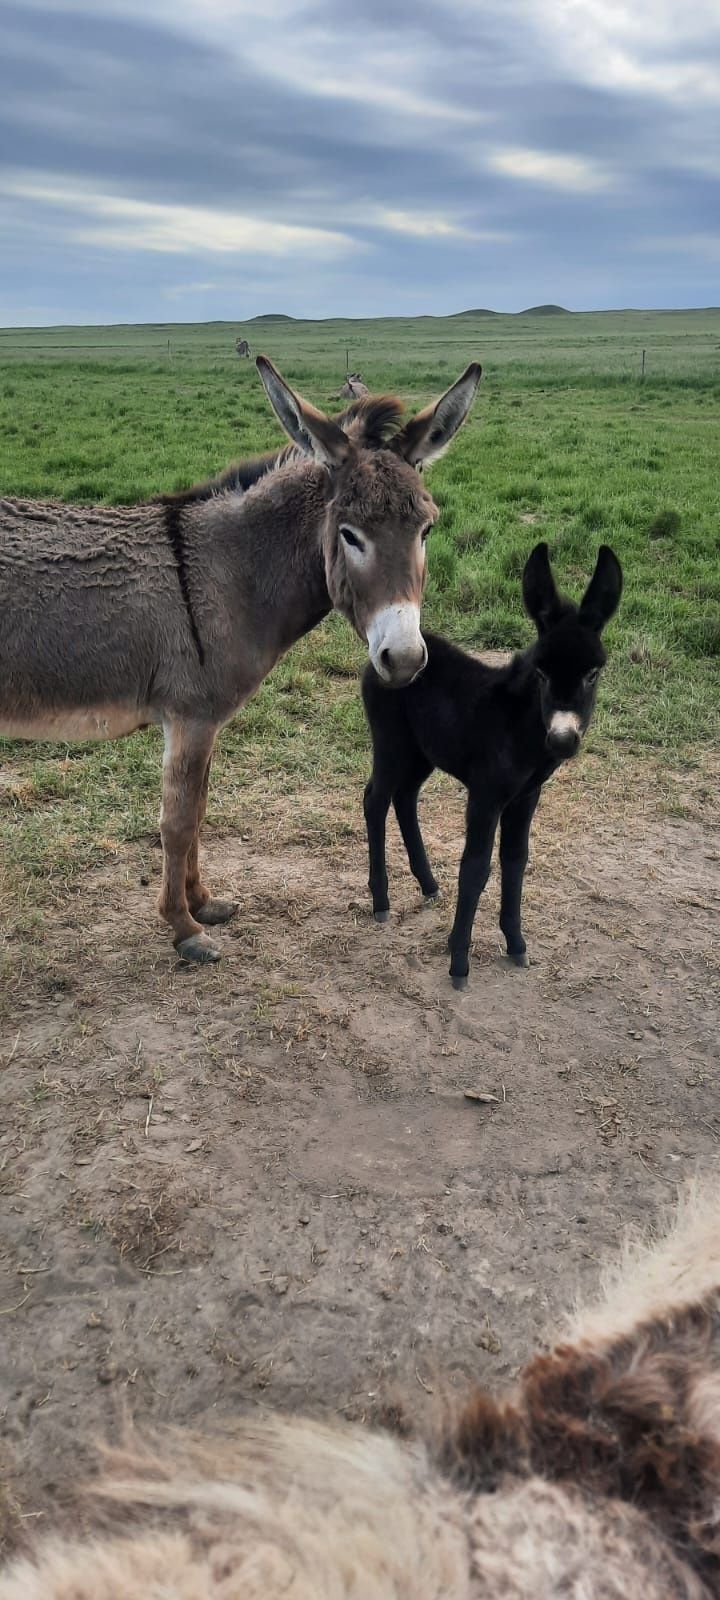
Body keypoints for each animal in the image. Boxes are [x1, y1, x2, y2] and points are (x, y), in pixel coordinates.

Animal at [363, 544, 620, 979]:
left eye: (593, 673)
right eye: (541, 672)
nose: (562, 739)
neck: (519, 727)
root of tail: (380, 656)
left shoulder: (526, 796)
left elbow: (515, 860)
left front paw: (516, 944)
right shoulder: (485, 796)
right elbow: (477, 867)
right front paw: (458, 962)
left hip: (422, 752)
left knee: (405, 798)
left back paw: (428, 884)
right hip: (391, 743)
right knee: (375, 800)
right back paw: (381, 902)